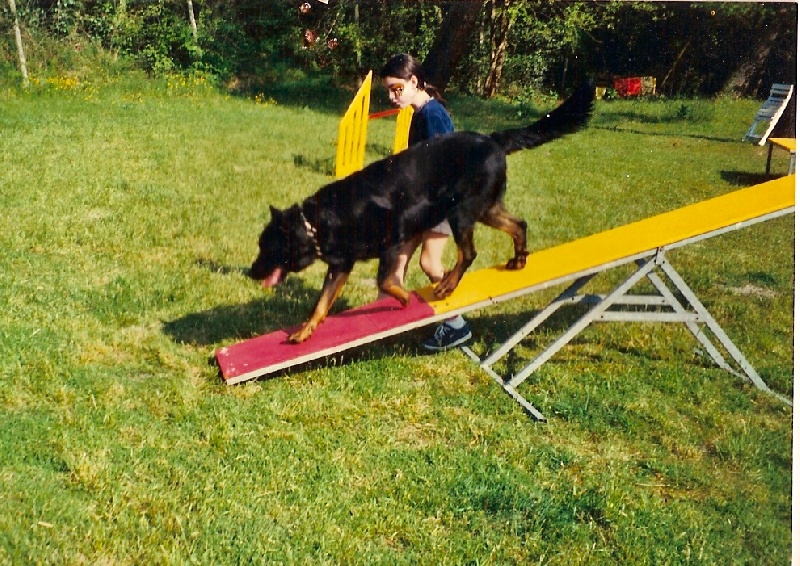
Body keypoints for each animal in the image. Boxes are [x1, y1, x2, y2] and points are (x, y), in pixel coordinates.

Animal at [250, 82, 592, 344]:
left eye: (266, 248)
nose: (250, 273)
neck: (317, 223)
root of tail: (493, 139)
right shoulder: (340, 266)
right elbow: (320, 305)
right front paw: (304, 333)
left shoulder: (391, 241)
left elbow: (384, 281)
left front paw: (403, 299)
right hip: (486, 209)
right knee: (518, 224)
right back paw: (519, 259)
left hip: (461, 212)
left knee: (469, 252)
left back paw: (448, 285)